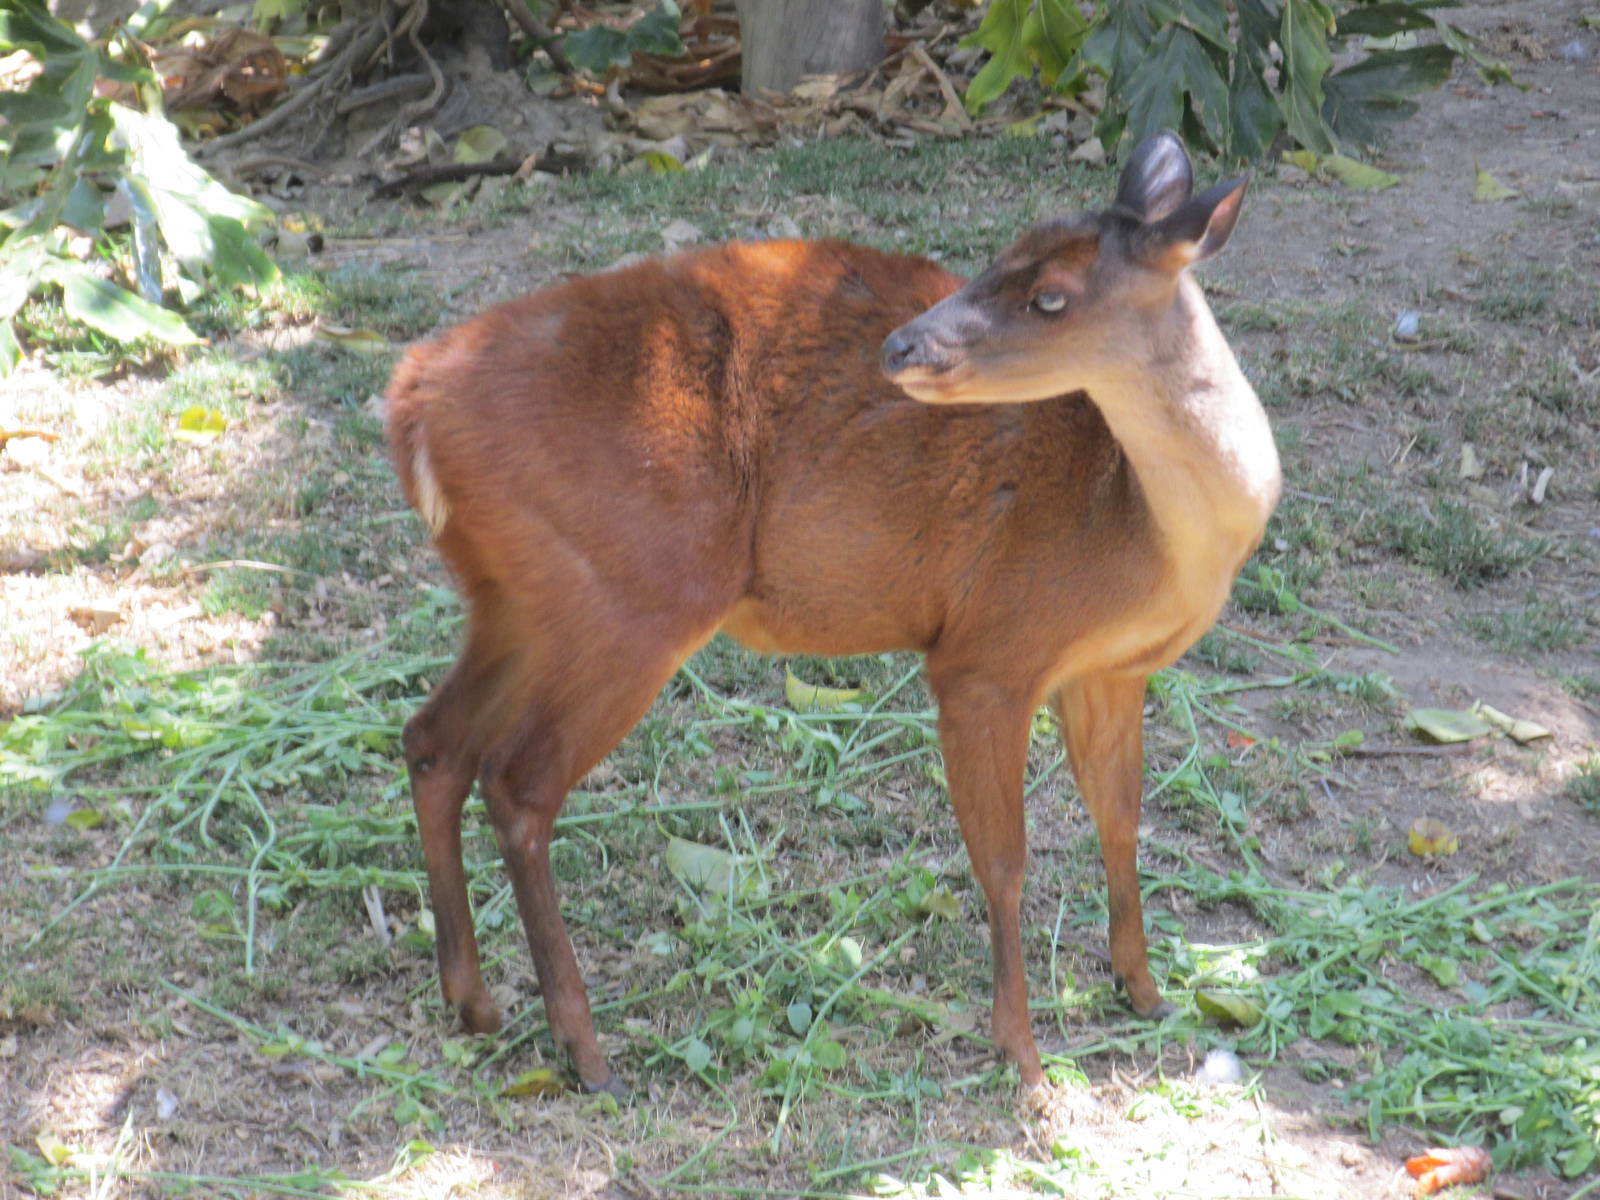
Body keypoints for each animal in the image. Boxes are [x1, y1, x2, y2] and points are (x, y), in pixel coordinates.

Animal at [384, 132, 1281, 1097]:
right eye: (998, 254)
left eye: (1050, 294)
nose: (901, 346)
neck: (1139, 527)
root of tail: (411, 403)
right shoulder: (988, 652)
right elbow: (1004, 861)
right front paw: (1023, 1056)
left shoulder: (1114, 668)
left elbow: (1120, 819)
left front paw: (1145, 991)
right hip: (637, 590)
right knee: (518, 782)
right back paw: (586, 1052)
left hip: (520, 594)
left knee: (435, 740)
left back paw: (473, 1001)